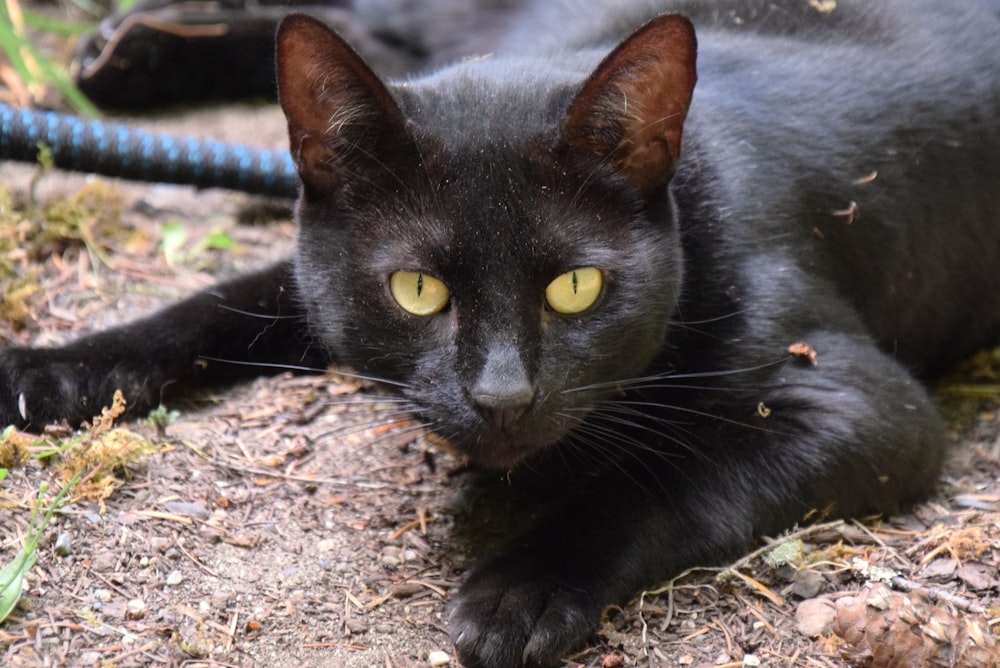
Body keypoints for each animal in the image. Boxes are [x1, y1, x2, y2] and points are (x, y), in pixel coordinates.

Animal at [1, 1, 1000, 668]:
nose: (503, 393)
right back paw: (122, 55)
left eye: (575, 287)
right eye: (417, 290)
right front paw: (50, 369)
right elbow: (210, 305)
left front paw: (523, 588)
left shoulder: (864, 404)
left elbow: (662, 476)